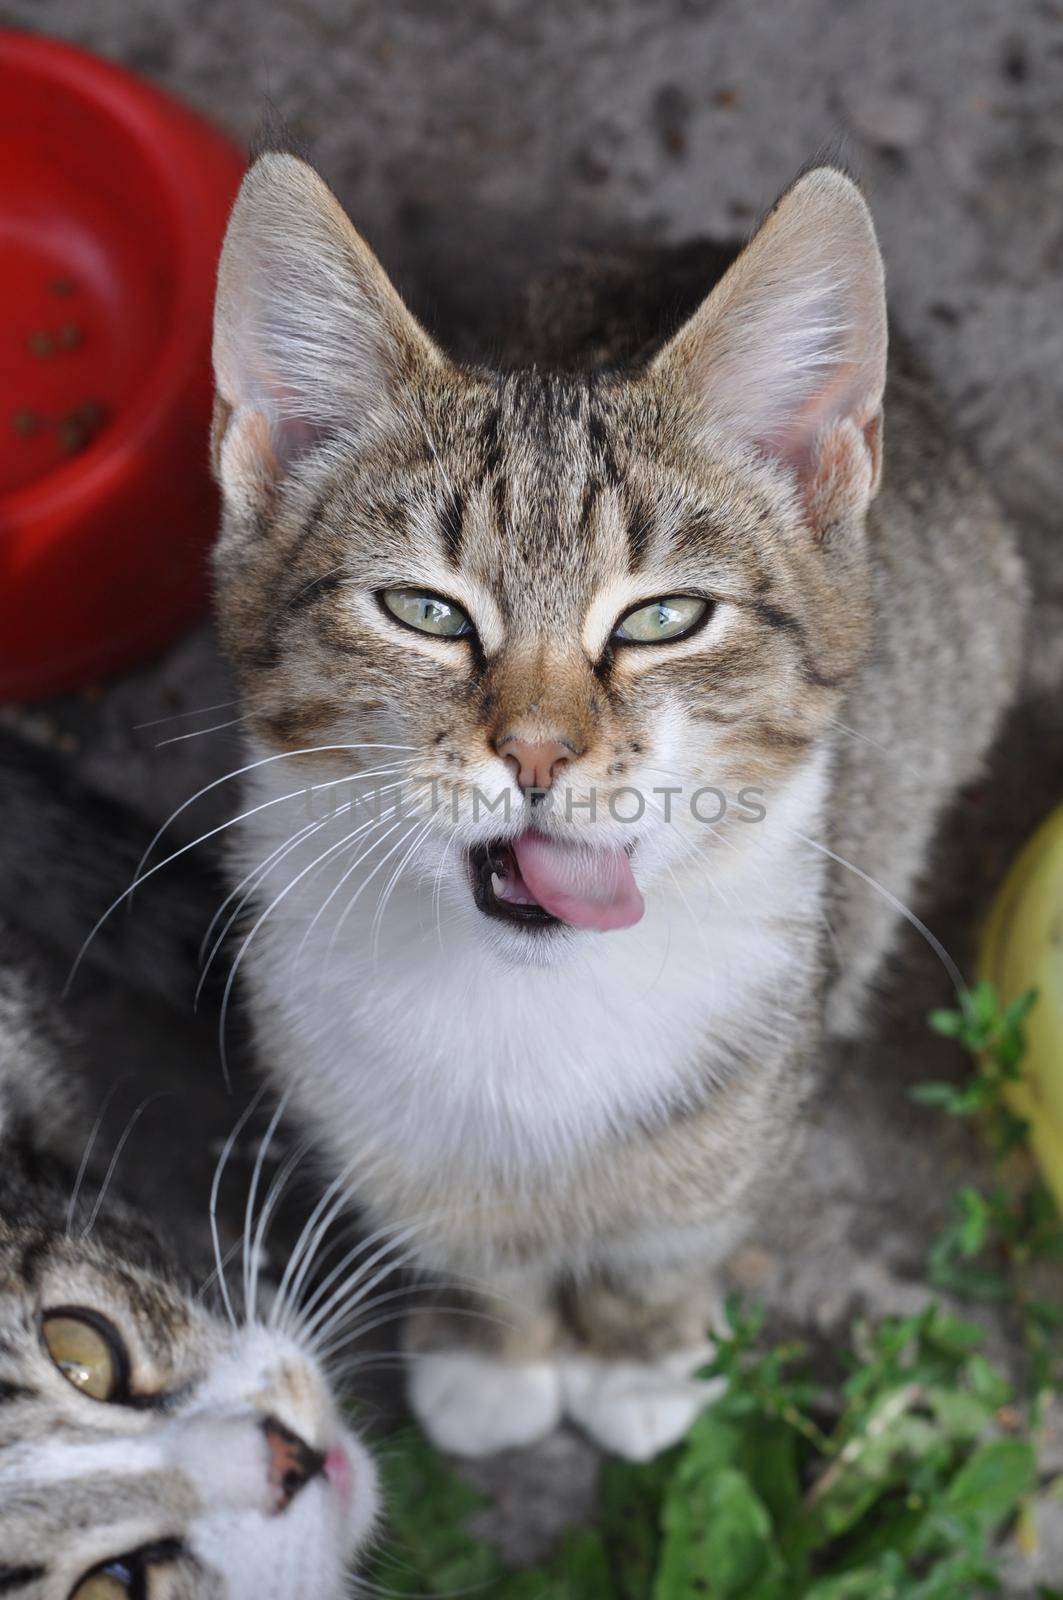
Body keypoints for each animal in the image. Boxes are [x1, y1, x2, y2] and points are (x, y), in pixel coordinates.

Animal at [204, 152, 1024, 1465]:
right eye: (423, 612)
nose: (538, 751)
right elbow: (468, 1237)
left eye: (662, 618)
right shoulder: (361, 1105)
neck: (530, 1003)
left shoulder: (746, 1095)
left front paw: (641, 1358)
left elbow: (673, 1229)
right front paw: (497, 1349)